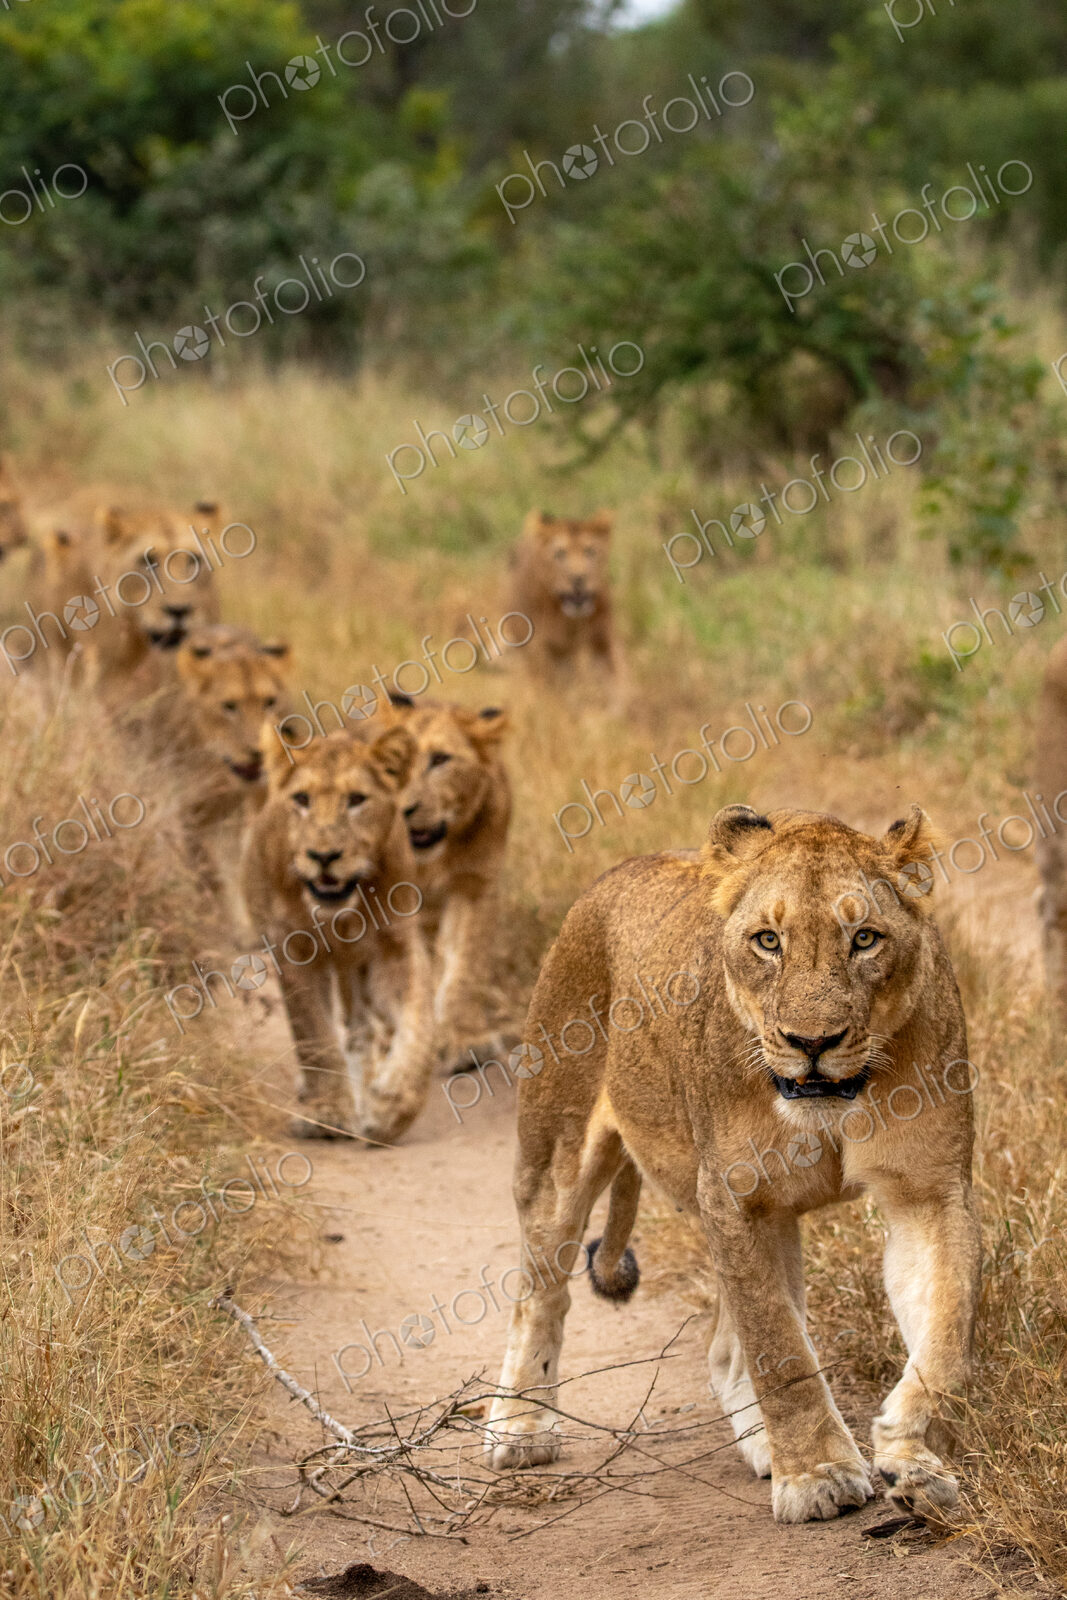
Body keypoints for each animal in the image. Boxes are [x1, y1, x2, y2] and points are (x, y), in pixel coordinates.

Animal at [241, 726, 436, 1143]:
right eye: (302, 799)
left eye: (356, 800)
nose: (324, 856)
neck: (340, 916)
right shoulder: (293, 951)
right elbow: (315, 1034)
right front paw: (329, 1113)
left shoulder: (396, 947)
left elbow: (419, 1023)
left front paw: (390, 1106)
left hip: (356, 967)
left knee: (361, 1028)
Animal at [385, 695, 513, 1070]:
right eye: (393, 765)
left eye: (440, 759)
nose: (404, 809)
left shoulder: (475, 886)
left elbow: (465, 966)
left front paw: (464, 1039)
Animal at [486, 804, 980, 1526]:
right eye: (767, 941)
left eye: (864, 938)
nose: (811, 1042)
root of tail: (613, 875)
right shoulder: (735, 1196)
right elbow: (779, 1346)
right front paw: (818, 1476)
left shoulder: (929, 1191)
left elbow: (945, 1335)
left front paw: (913, 1461)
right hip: (555, 1154)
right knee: (540, 1293)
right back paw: (520, 1429)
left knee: (722, 1344)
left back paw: (764, 1445)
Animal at [506, 509, 624, 705]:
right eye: (560, 554)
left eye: (590, 551)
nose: (578, 578)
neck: (567, 621)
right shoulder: (537, 647)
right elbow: (545, 686)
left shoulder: (603, 638)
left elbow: (615, 678)